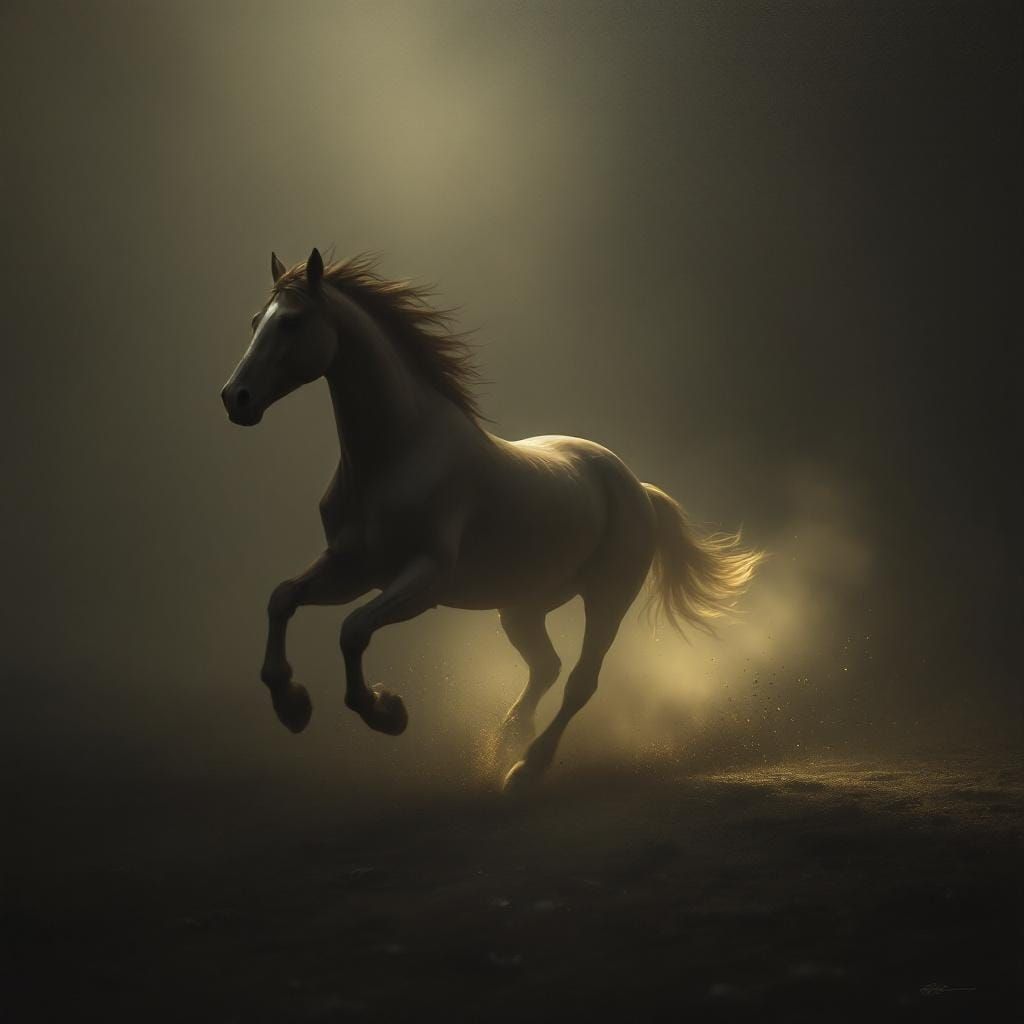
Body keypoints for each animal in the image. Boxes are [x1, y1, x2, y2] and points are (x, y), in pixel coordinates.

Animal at [221, 249, 764, 792]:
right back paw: (506, 740)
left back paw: (525, 768)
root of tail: (637, 487)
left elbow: (352, 630)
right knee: (546, 668)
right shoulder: (351, 568)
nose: (235, 398)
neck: (397, 457)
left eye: (292, 321)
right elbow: (282, 599)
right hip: (522, 607)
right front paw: (293, 706)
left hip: (607, 599)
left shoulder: (423, 580)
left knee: (580, 682)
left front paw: (387, 712)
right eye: (255, 321)